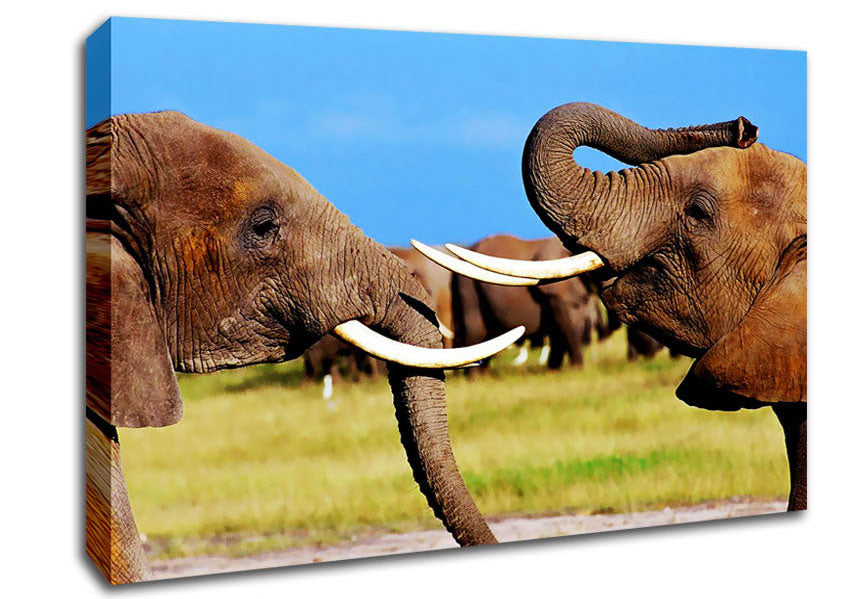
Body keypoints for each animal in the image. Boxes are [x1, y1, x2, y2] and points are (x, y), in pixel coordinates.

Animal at [451, 234, 599, 371]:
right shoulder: (558, 290)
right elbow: (567, 323)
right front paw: (575, 369)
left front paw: (554, 370)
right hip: (467, 285)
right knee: (475, 330)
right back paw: (475, 378)